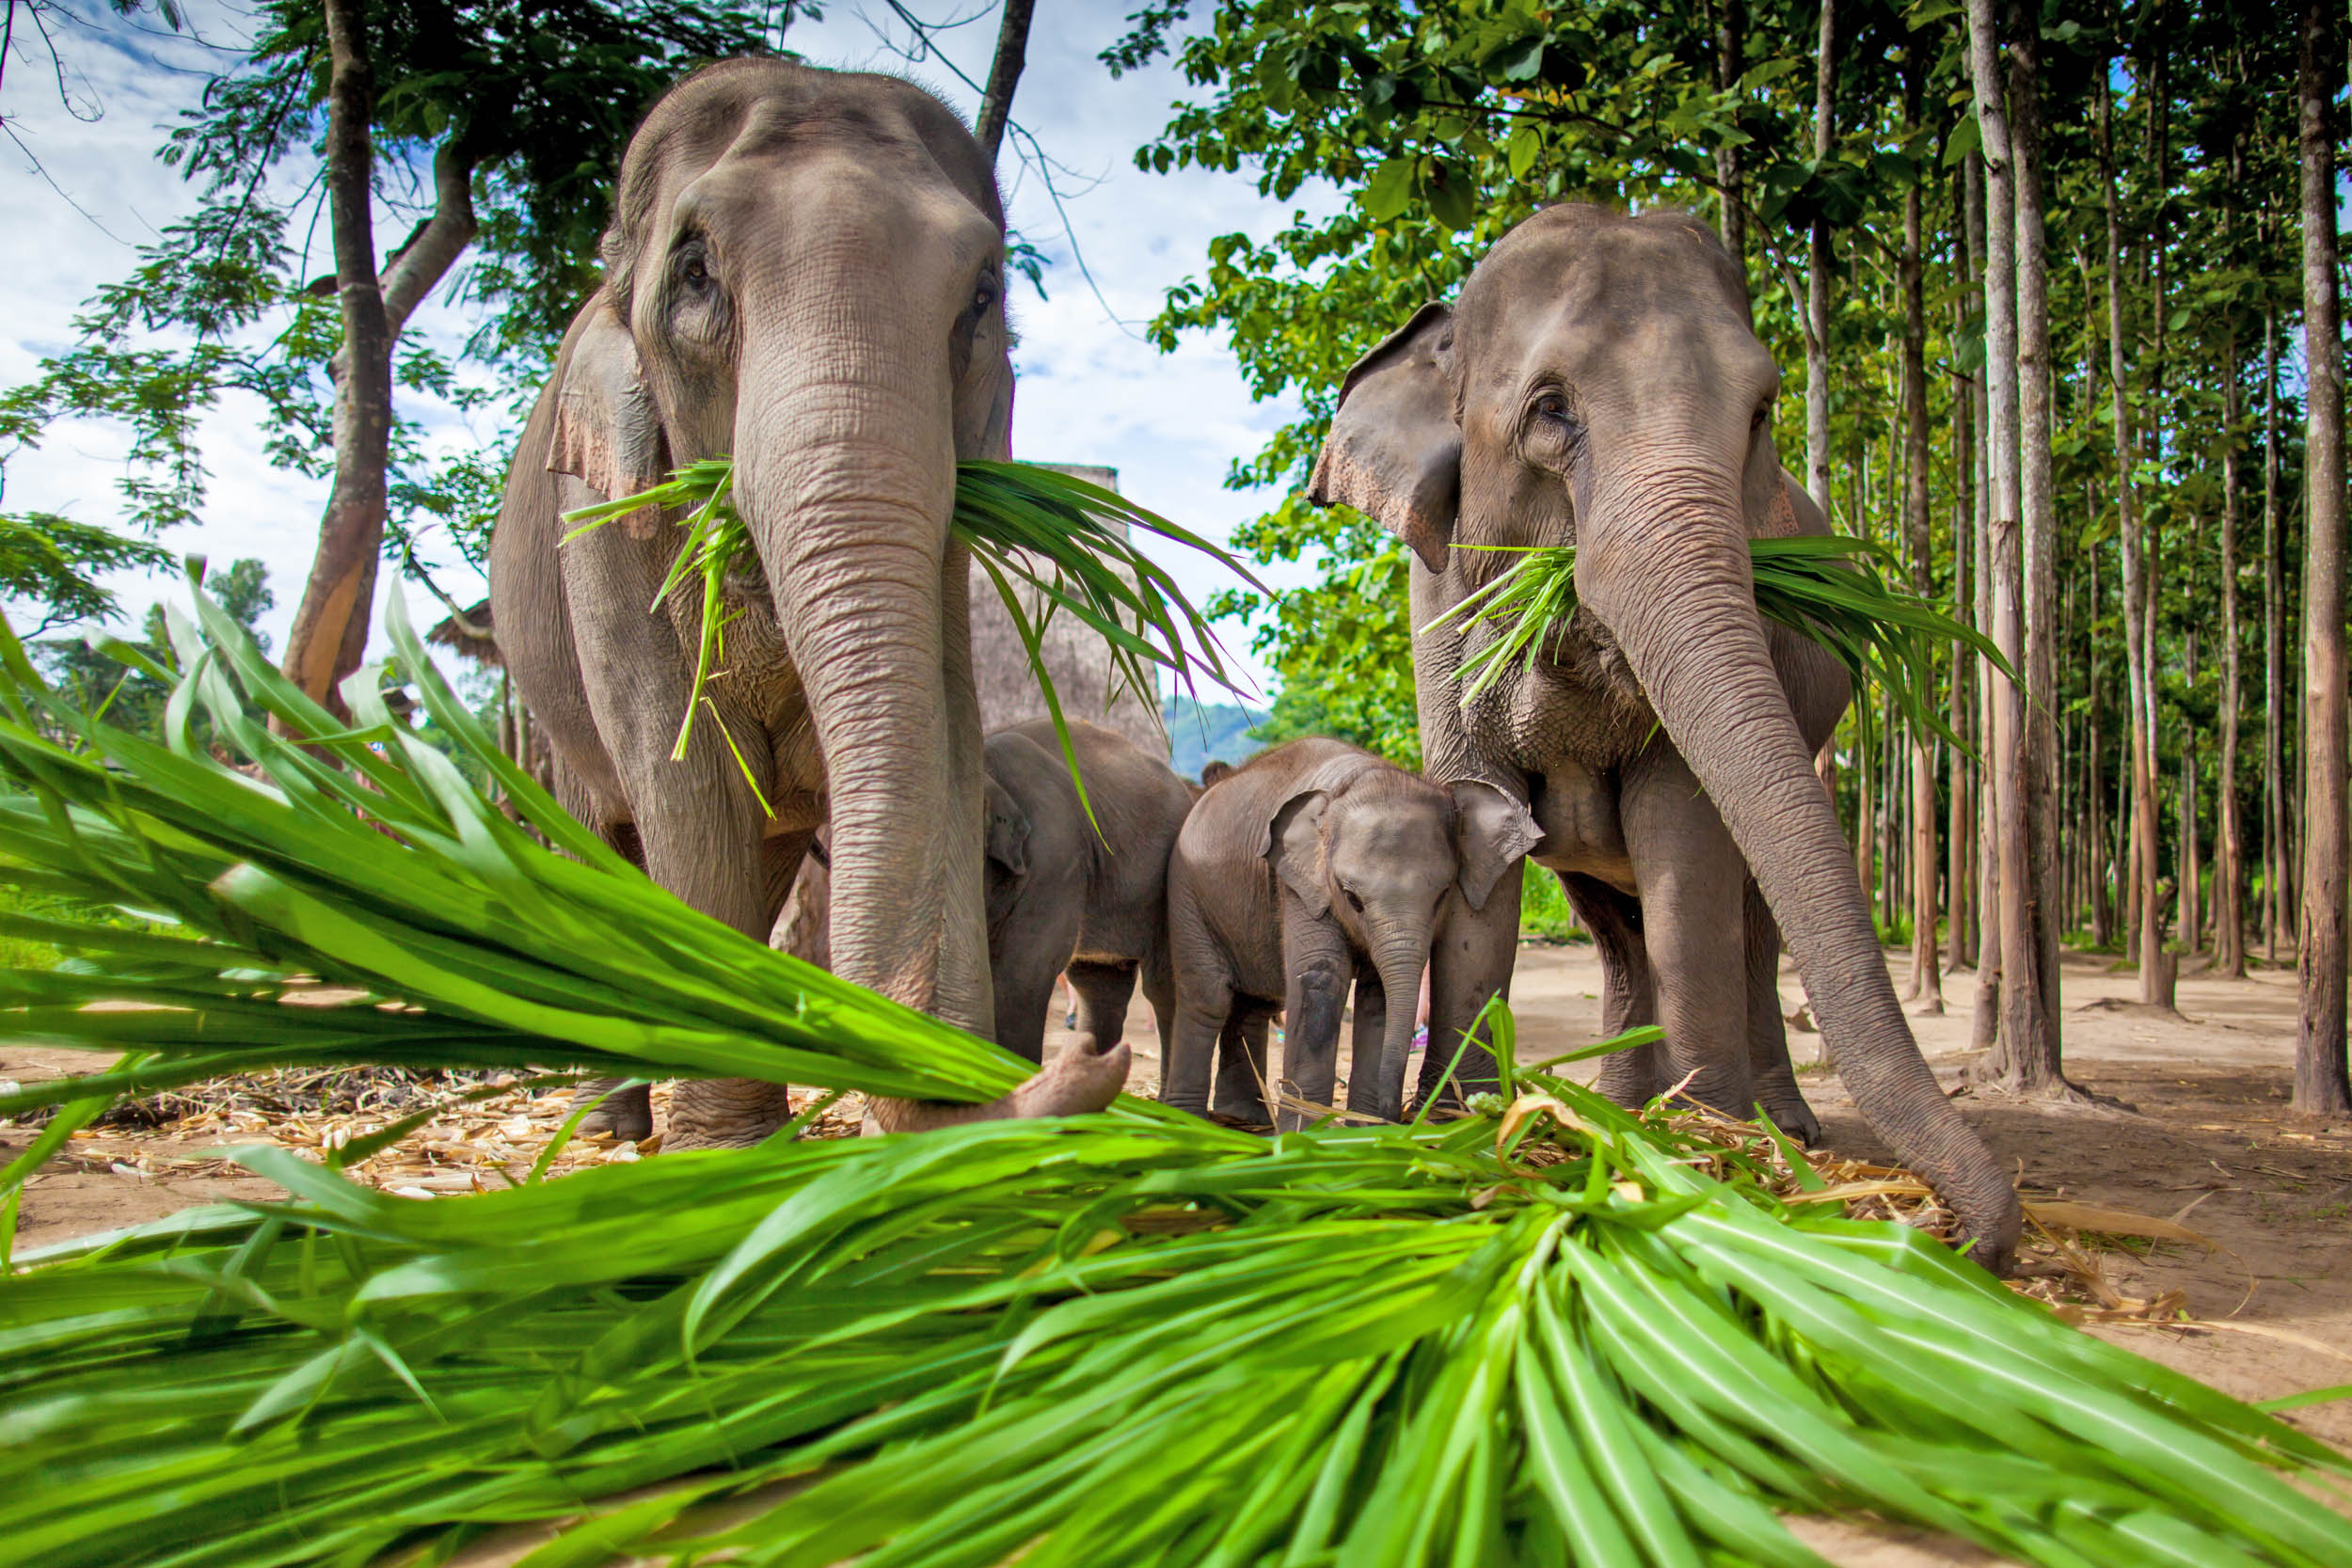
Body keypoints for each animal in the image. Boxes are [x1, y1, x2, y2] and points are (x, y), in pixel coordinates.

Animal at [489, 59, 1126, 1147]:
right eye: (695, 274)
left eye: (983, 294)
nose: (1087, 1060)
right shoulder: (602, 517)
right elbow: (686, 780)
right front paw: (725, 1150)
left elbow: (945, 737)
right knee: (606, 837)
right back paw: (612, 1123)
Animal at [1163, 738, 1537, 1129]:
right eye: (1351, 898)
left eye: (1443, 895)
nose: (1396, 1114)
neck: (1362, 776)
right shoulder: (1299, 885)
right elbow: (1321, 977)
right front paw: (1309, 1133)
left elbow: (1377, 997)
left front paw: (1365, 1130)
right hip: (1186, 894)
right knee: (1209, 997)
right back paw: (1185, 1121)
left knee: (1255, 1003)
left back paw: (1244, 1117)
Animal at [1307, 204, 2019, 1267]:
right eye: (1551, 409)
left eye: (1762, 411)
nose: (1958, 1237)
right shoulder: (1432, 607)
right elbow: (1482, 834)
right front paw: (1463, 1126)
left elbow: (1683, 835)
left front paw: (1708, 1142)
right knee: (1610, 924)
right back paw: (1612, 1105)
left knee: (1749, 920)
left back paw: (1772, 1124)